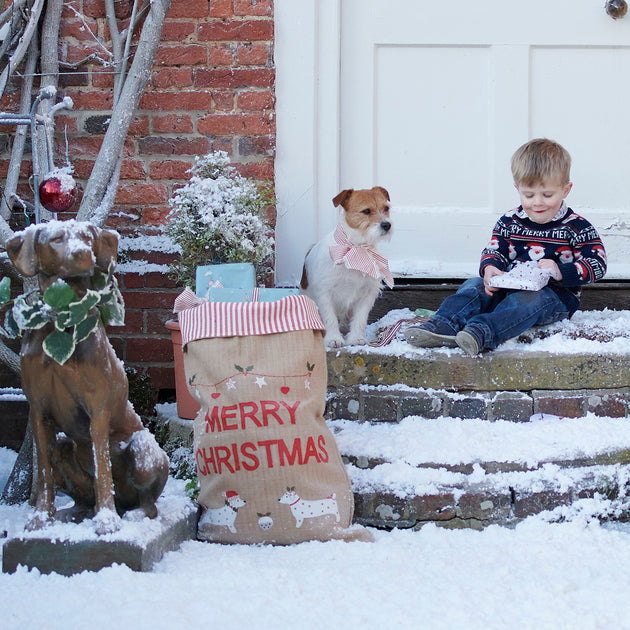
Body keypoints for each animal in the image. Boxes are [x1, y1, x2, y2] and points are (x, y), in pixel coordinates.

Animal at [302, 188, 396, 348]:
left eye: (386, 208)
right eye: (366, 211)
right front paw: (333, 338)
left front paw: (356, 338)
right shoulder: (325, 292)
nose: (387, 225)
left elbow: (360, 319)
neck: (357, 248)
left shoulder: (367, 294)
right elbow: (330, 318)